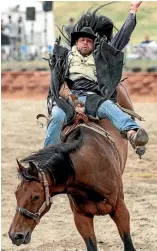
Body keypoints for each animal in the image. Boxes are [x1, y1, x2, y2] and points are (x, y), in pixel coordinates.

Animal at [8, 83, 136, 250]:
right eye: (16, 193)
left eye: (35, 196)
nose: (14, 235)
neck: (91, 167)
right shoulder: (81, 217)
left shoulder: (120, 209)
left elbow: (128, 243)